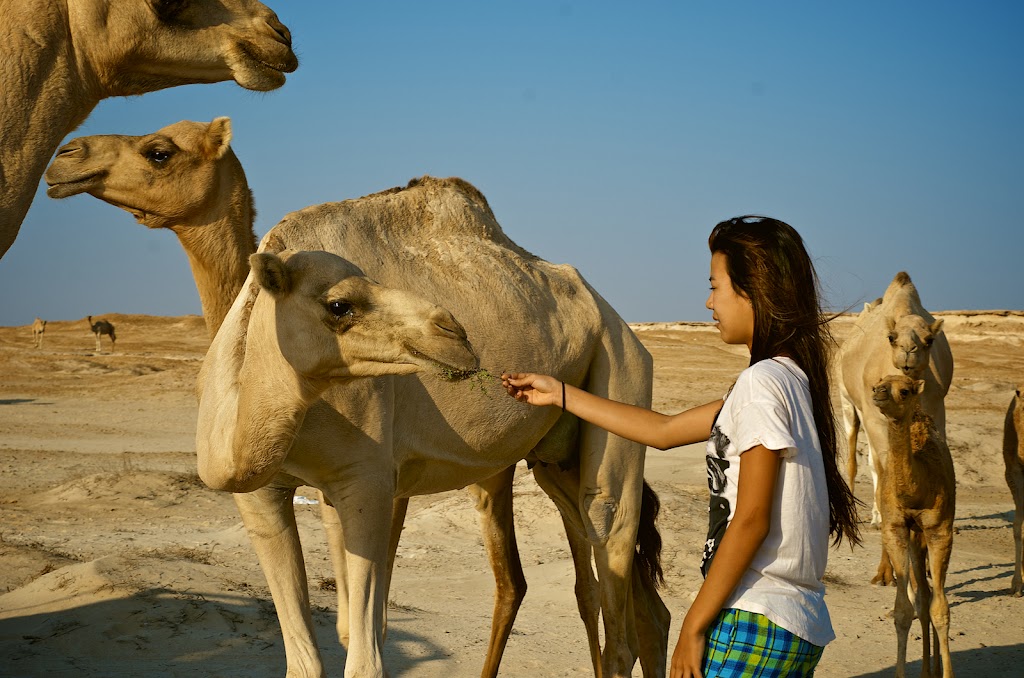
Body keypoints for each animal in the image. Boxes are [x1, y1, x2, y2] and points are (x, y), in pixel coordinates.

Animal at [872, 374, 958, 678]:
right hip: (914, 539)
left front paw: (947, 673)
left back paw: (932, 669)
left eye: (905, 391)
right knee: (922, 595)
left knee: (931, 596)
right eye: (878, 383)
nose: (878, 392)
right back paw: (925, 670)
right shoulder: (895, 528)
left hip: (926, 536)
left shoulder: (940, 530)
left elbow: (941, 610)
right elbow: (903, 610)